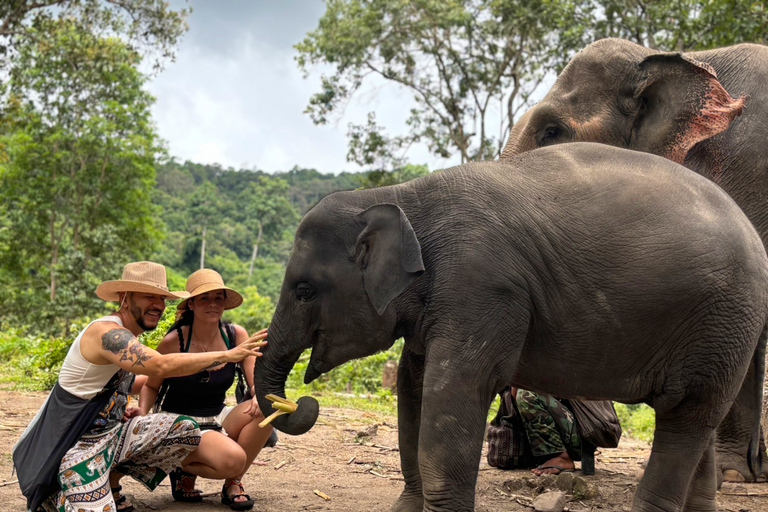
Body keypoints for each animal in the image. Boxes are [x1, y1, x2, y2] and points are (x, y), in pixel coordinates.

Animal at [258, 141, 768, 512]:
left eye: (304, 291)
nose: (298, 404)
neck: (403, 196)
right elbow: (412, 390)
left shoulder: (482, 287)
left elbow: (454, 396)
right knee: (697, 418)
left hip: (725, 320)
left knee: (685, 419)